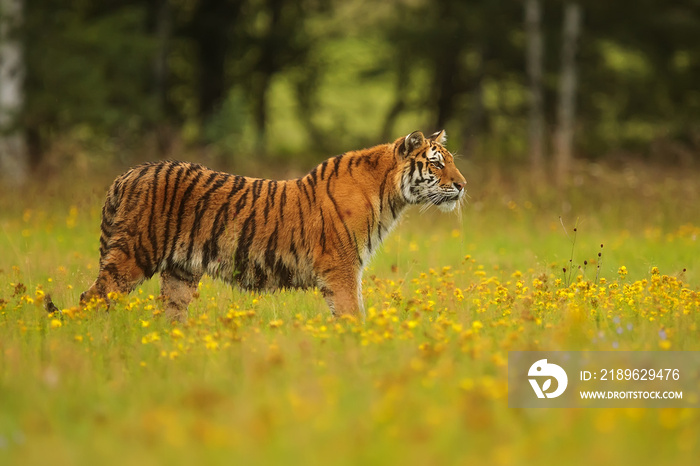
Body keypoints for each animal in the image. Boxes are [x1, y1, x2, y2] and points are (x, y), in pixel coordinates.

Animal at [46, 129, 468, 322]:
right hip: (133, 255)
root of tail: (129, 173)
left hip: (180, 273)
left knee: (169, 315)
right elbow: (353, 315)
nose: (463, 185)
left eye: (449, 161)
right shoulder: (342, 269)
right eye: (435, 163)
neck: (389, 195)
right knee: (90, 298)